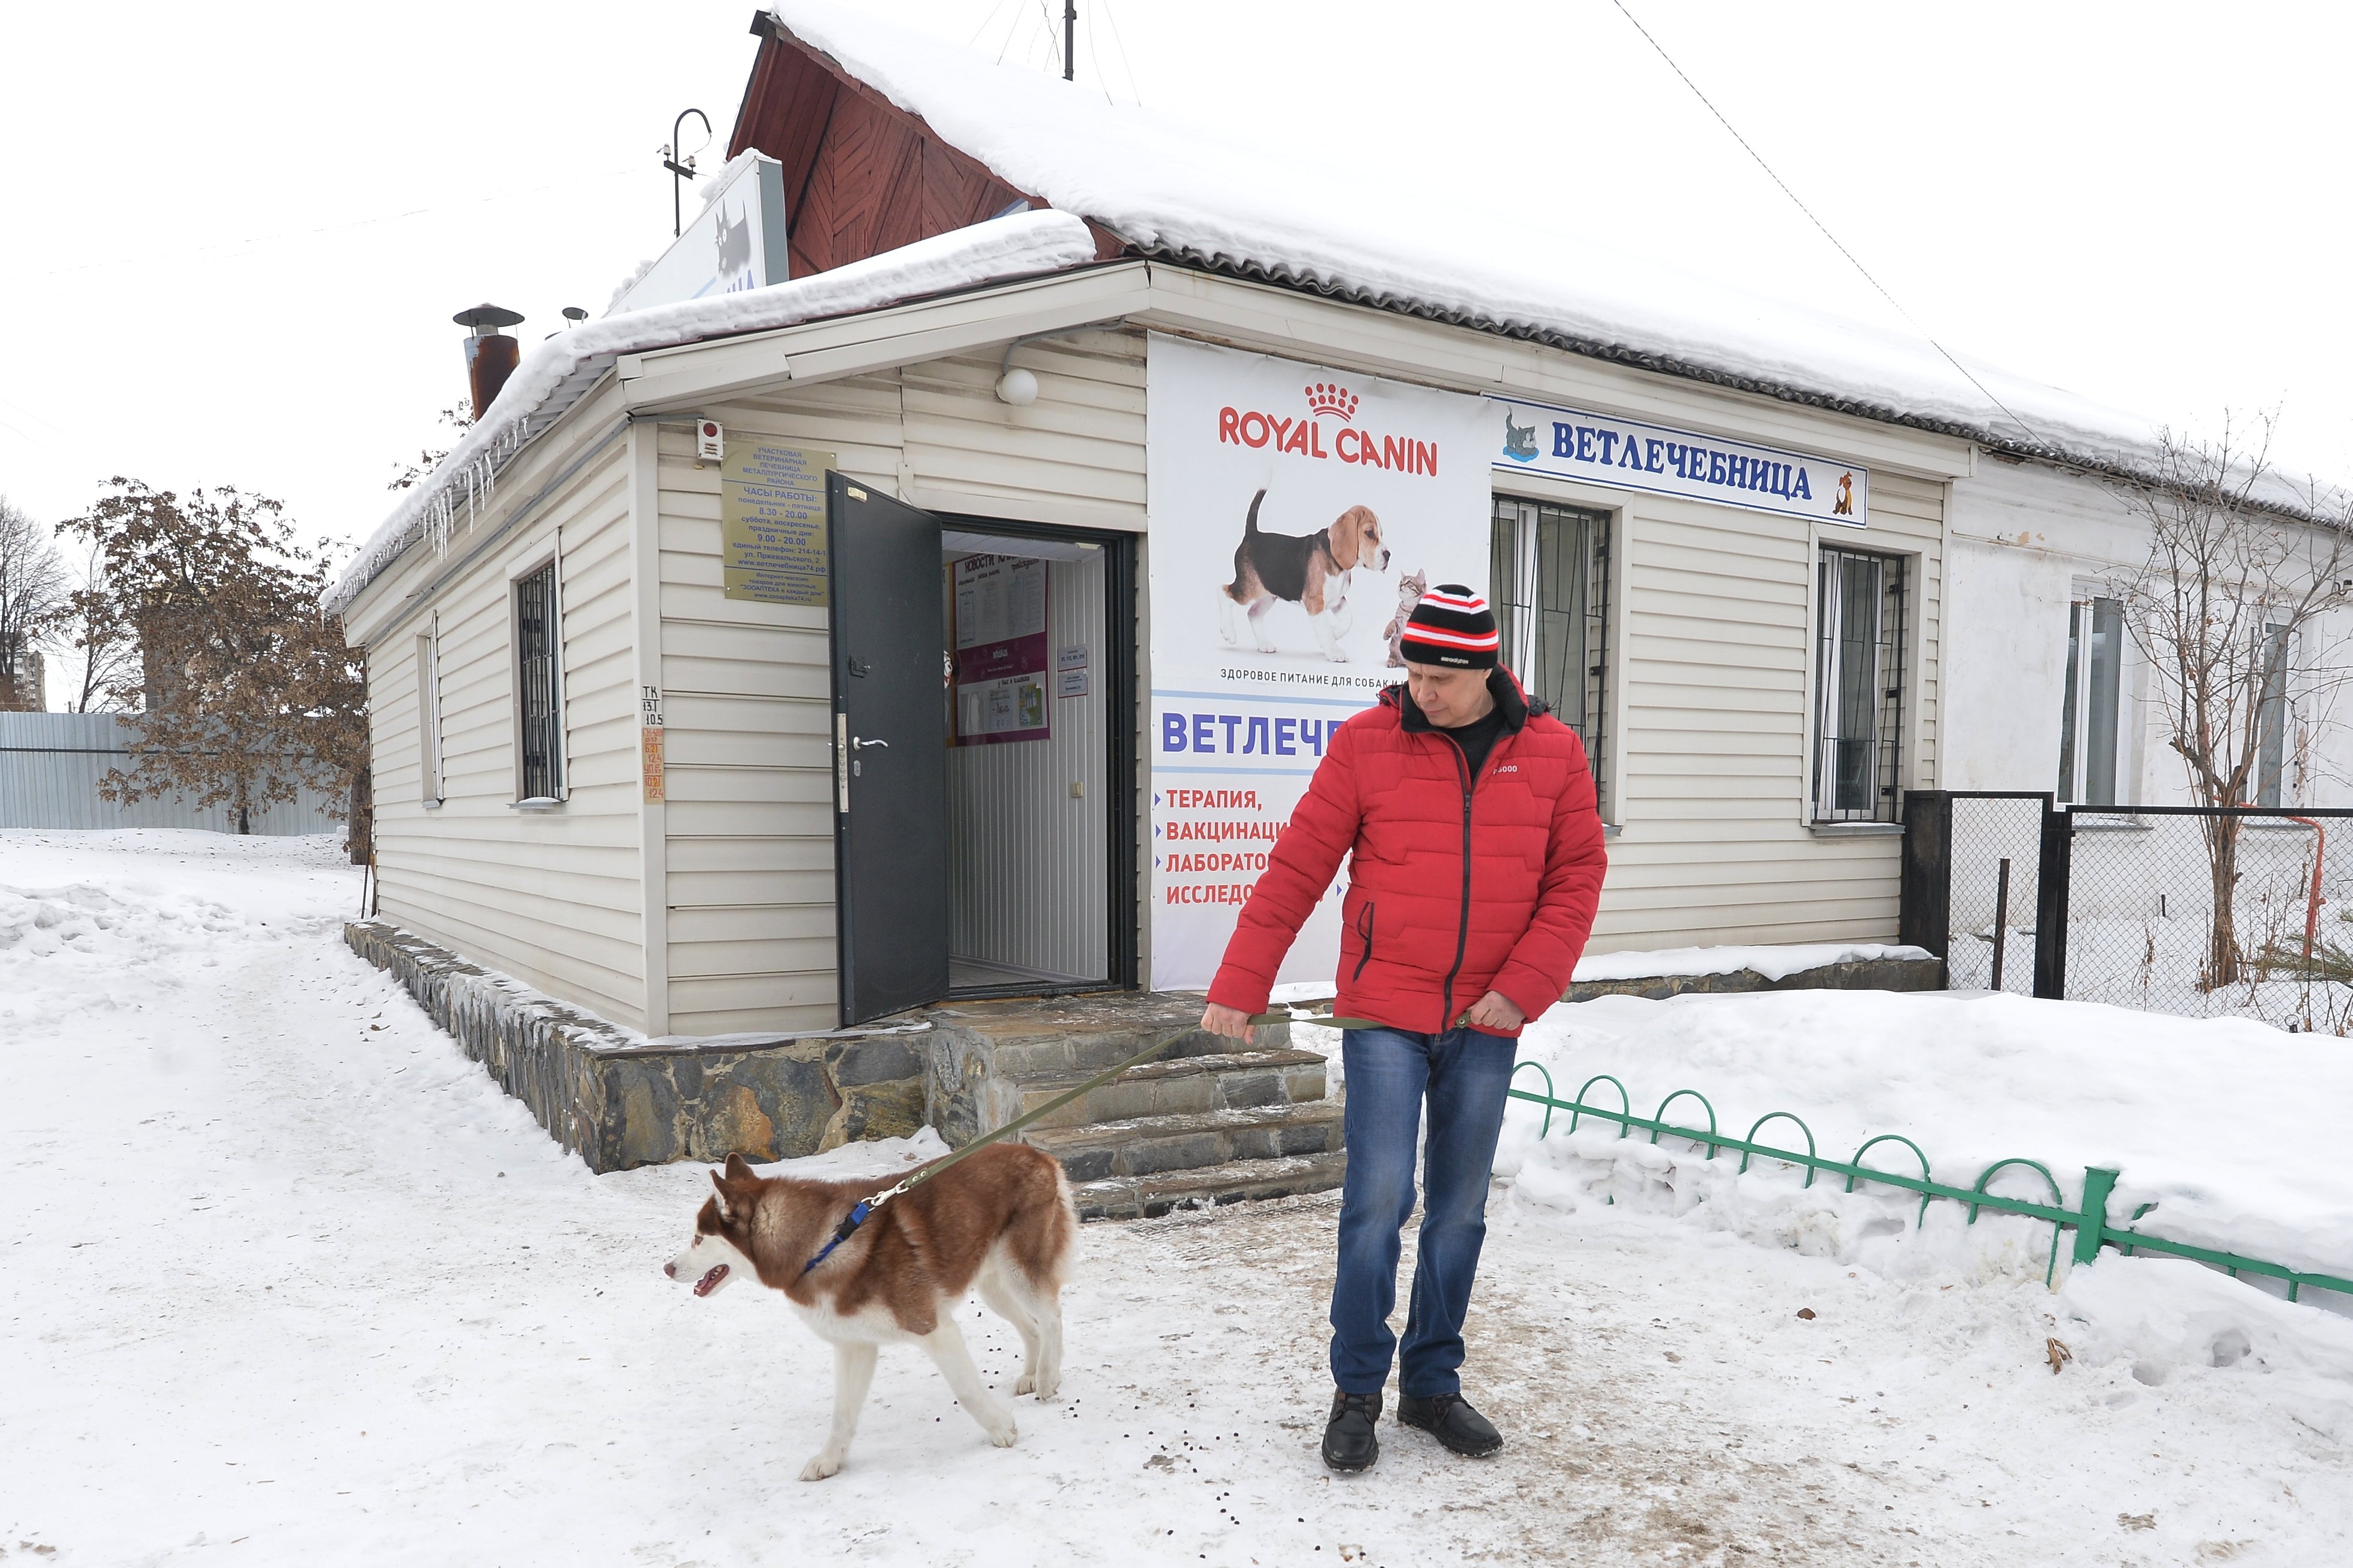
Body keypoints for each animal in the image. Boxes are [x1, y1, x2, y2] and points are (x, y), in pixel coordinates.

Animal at [658, 1147, 1073, 1476]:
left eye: (698, 1239)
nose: (667, 1268)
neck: (825, 1245)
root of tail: (1035, 1152)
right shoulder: (854, 1346)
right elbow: (842, 1415)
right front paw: (829, 1462)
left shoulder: (934, 1328)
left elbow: (968, 1390)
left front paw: (1002, 1430)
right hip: (993, 1286)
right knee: (1031, 1326)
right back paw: (1032, 1375)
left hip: (1021, 1271)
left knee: (1052, 1317)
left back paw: (1048, 1378)